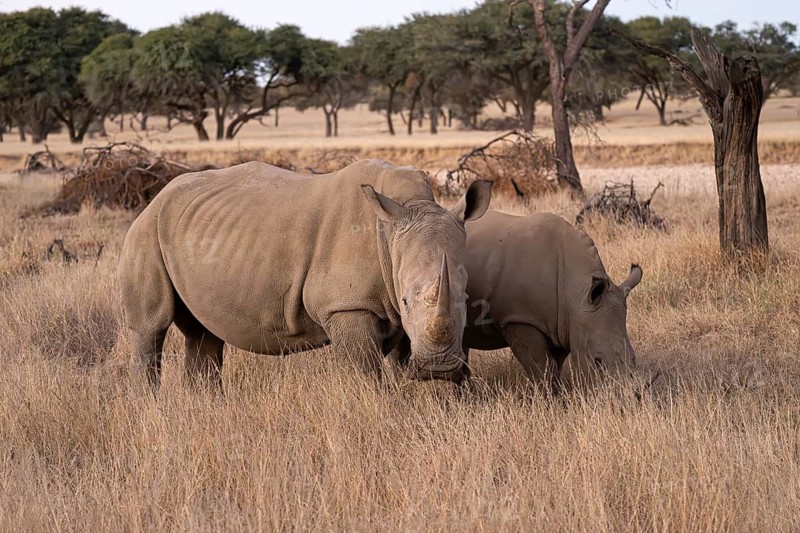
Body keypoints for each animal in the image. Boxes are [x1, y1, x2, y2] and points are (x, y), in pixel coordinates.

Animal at [117, 159, 492, 389]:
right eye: (405, 299)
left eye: (466, 297)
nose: (438, 368)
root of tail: (157, 196)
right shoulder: (348, 305)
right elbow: (367, 374)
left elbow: (399, 363)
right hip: (146, 231)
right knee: (151, 326)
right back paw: (149, 407)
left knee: (204, 332)